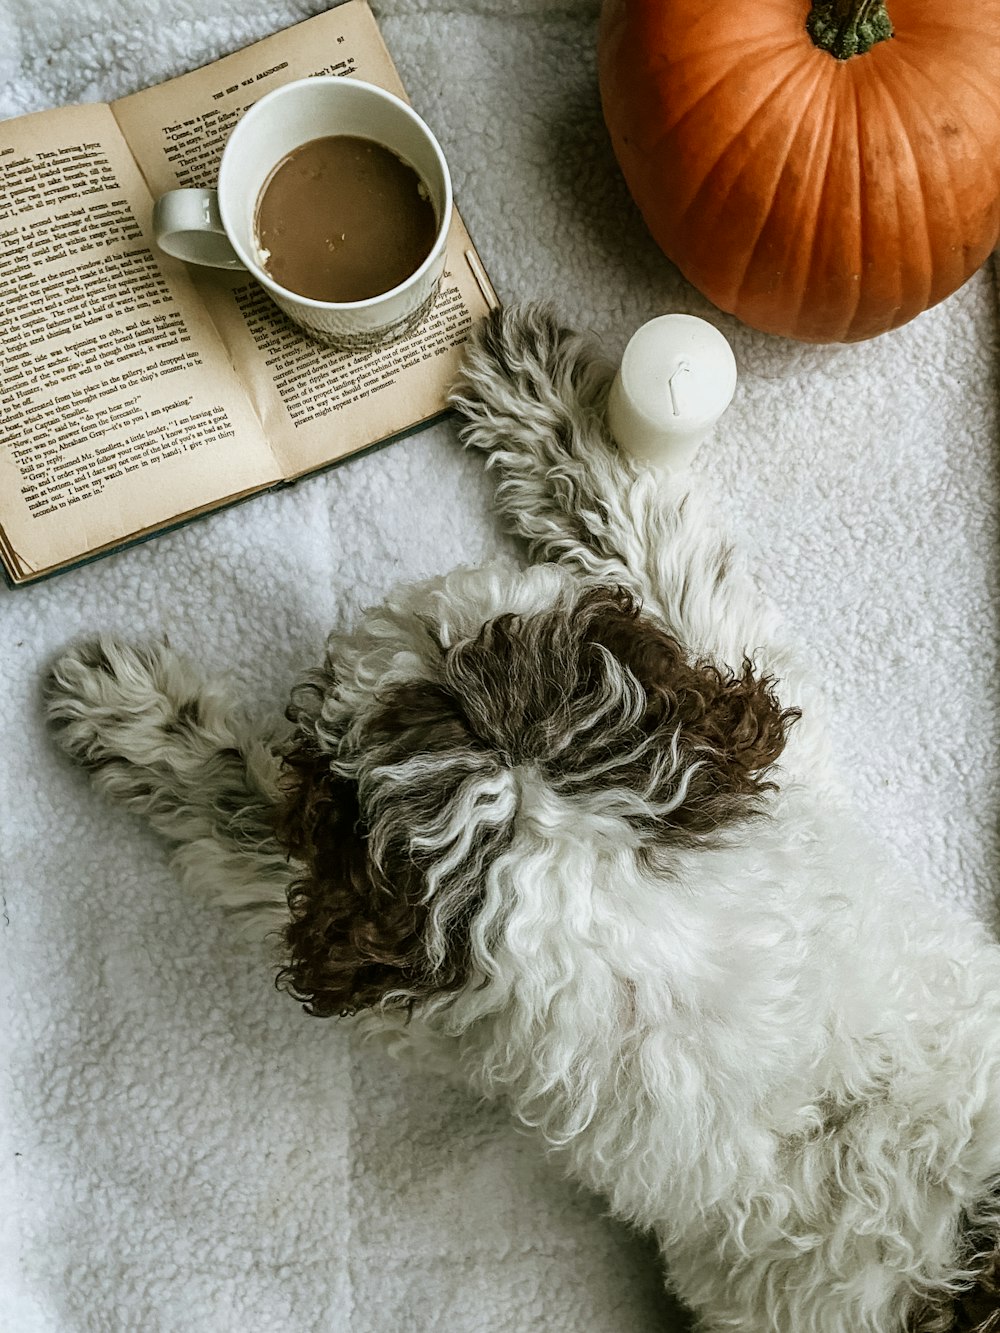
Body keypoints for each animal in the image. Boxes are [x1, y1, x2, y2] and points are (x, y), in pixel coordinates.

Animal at [49, 305, 1000, 1333]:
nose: (340, 661)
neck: (610, 886)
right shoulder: (756, 746)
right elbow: (647, 536)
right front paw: (544, 399)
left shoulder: (419, 998)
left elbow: (246, 821)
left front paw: (136, 717)